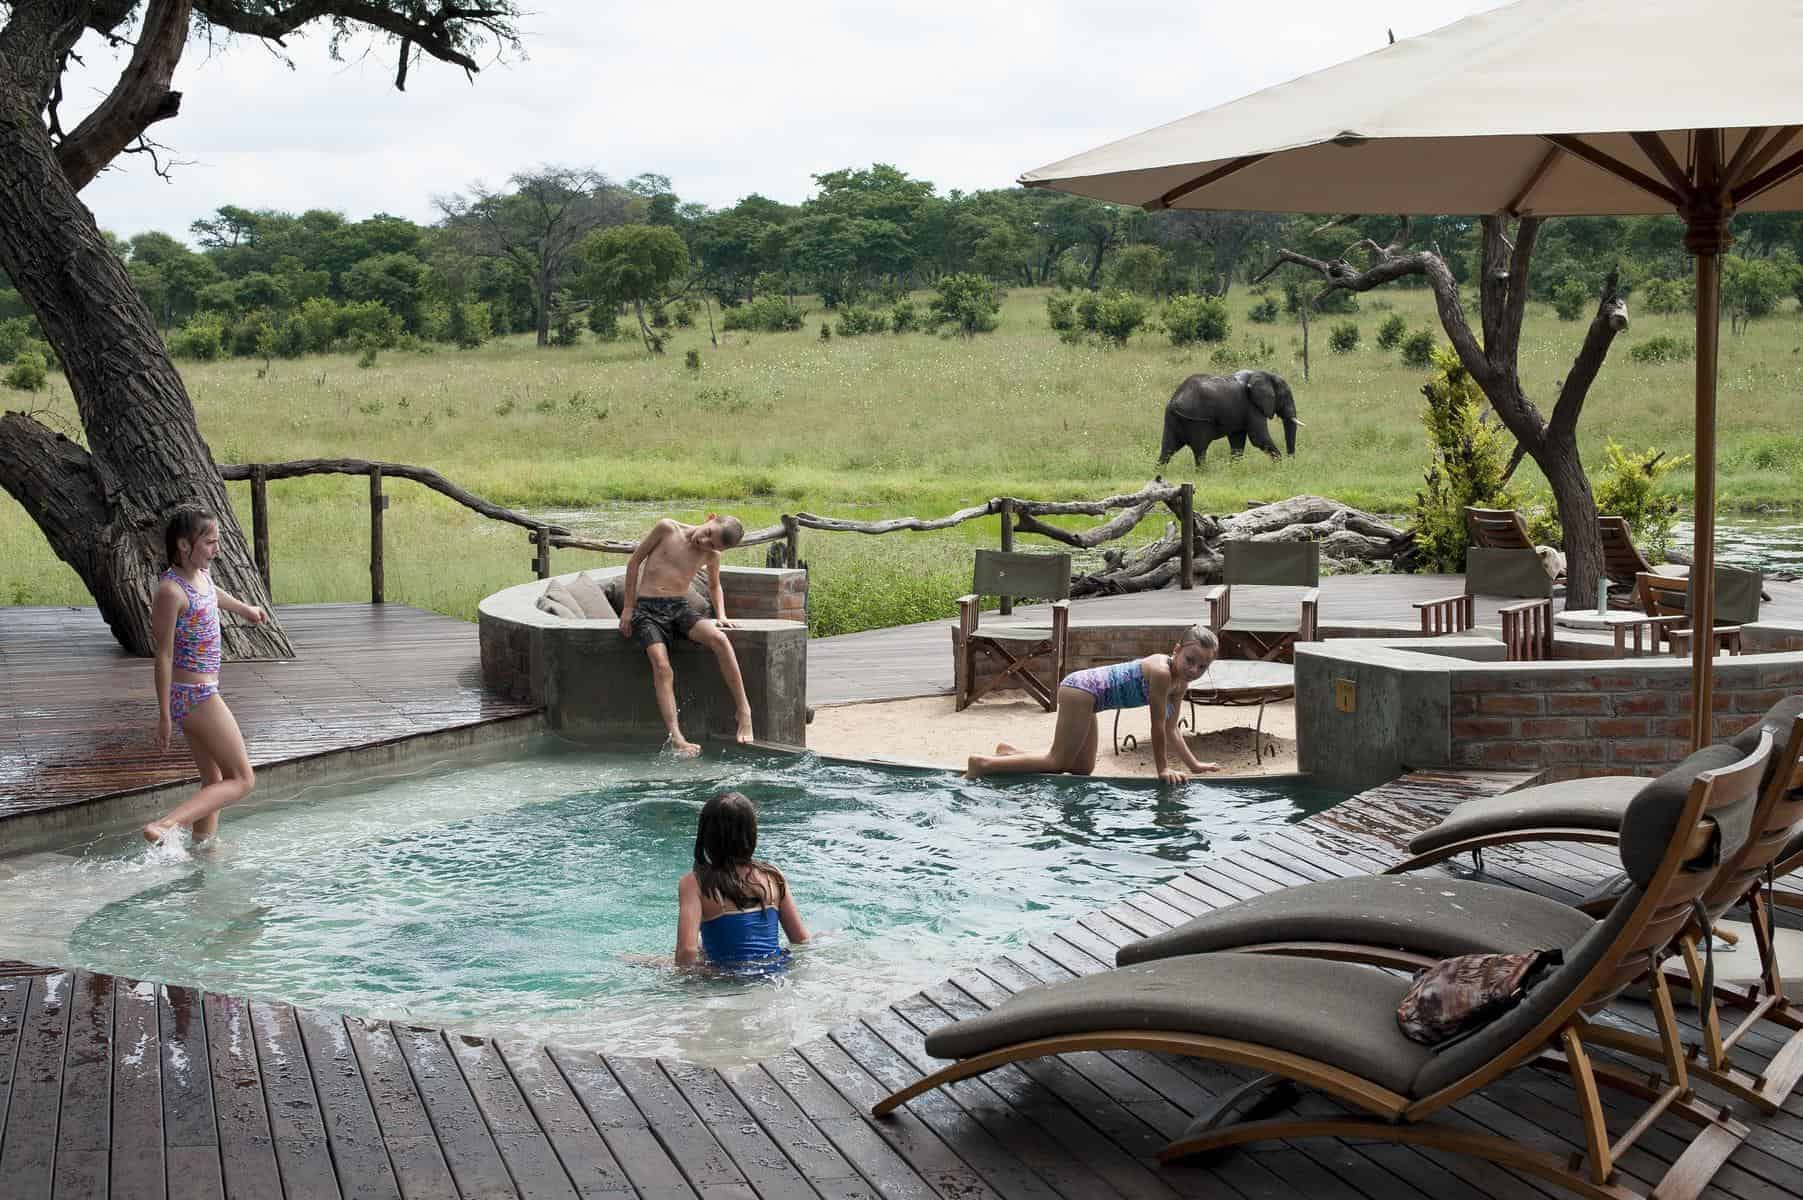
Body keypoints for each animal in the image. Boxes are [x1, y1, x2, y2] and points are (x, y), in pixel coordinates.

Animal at [1158, 369, 1301, 467]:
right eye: (1286, 395)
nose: (1291, 462)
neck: (1263, 373)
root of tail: (1175, 400)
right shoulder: (1252, 407)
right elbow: (1259, 438)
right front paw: (1280, 465)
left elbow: (1237, 441)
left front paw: (1235, 469)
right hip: (1195, 420)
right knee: (1200, 449)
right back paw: (1204, 472)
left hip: (1171, 419)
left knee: (1168, 448)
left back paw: (1160, 471)